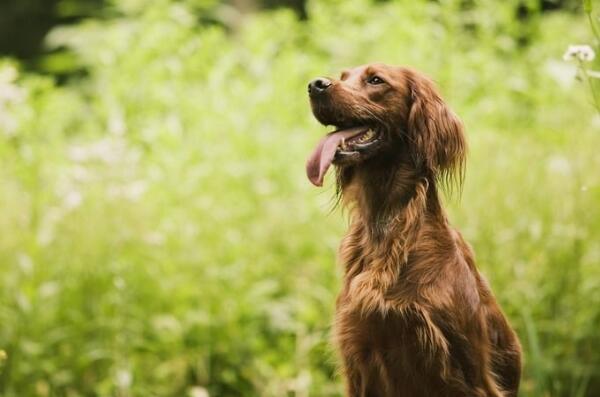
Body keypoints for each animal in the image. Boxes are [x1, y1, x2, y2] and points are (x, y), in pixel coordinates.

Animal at [304, 63, 520, 394]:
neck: (386, 227)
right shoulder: (358, 357)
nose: (315, 85)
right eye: (343, 77)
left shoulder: (468, 370)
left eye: (375, 80)